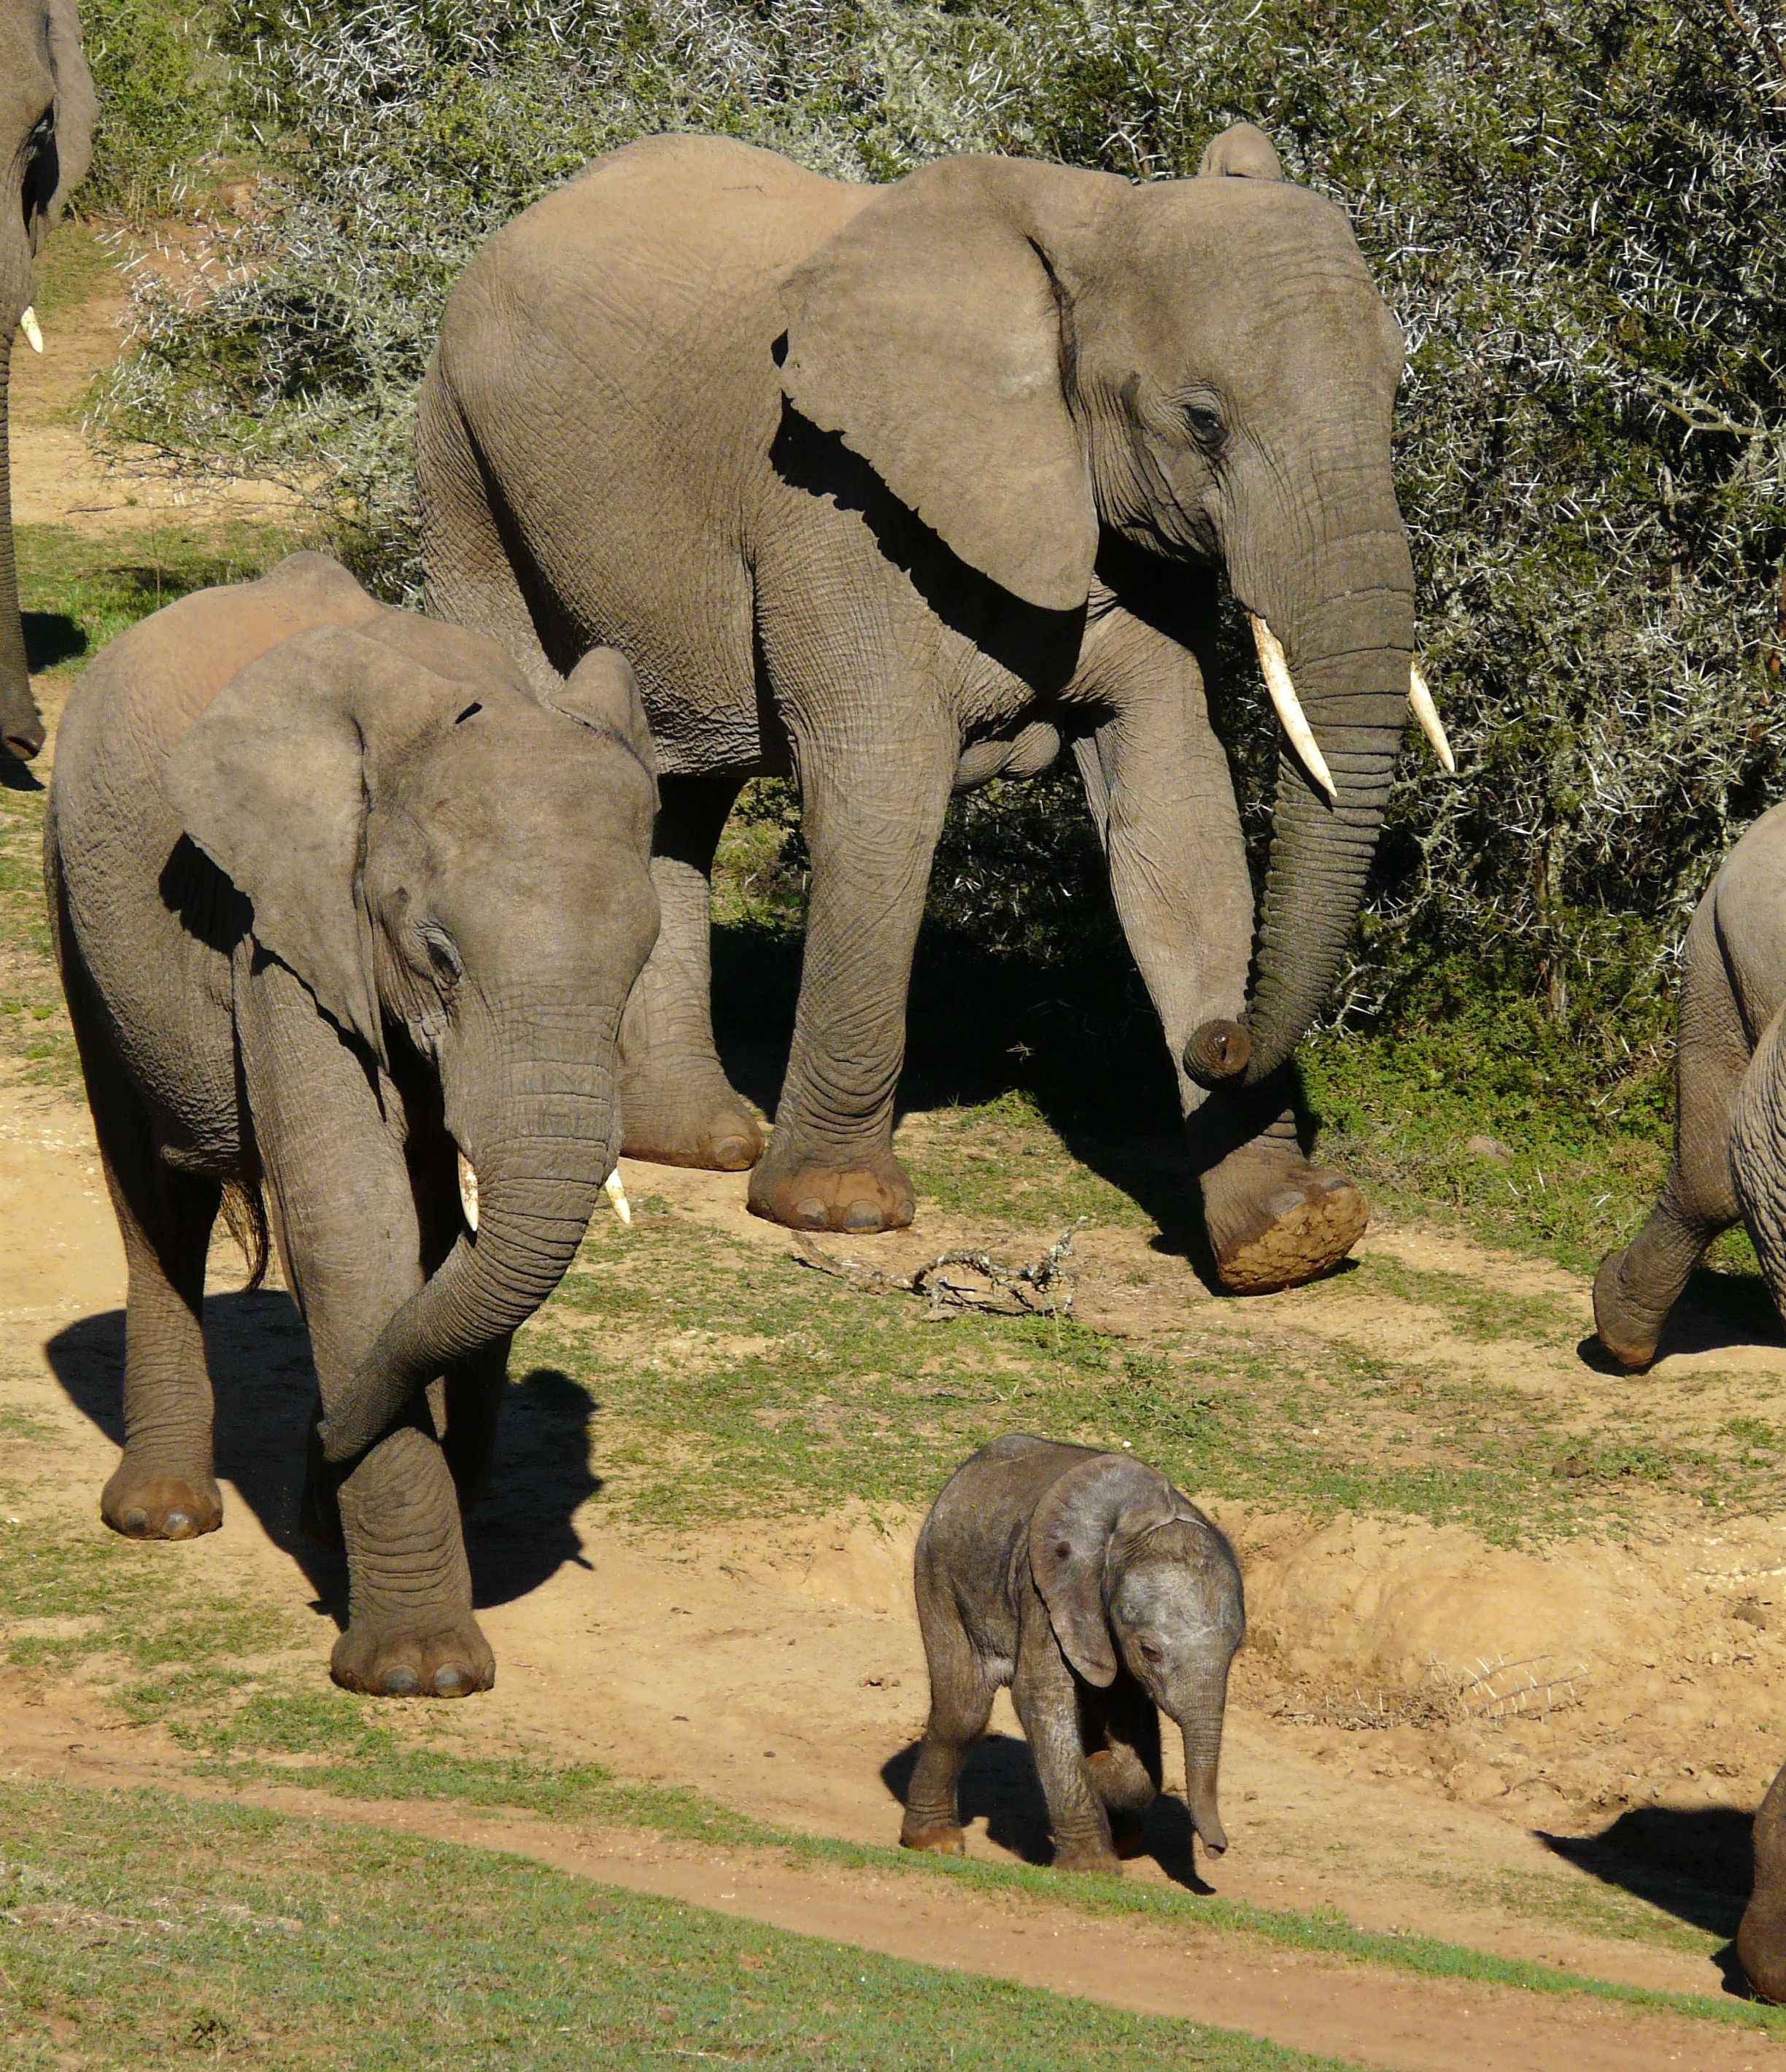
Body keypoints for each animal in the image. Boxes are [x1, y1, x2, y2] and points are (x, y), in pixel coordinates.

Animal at [46, 551, 659, 1695]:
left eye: (643, 959)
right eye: (440, 953)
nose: (330, 1433)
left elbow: (421, 1243)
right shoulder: (281, 920)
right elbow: (346, 1222)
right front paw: (422, 1677)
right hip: (76, 896)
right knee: (153, 1192)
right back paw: (164, 1518)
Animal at [416, 122, 1449, 1293]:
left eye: (1396, 393)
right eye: (1205, 419)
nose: (1222, 1042)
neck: (1092, 226)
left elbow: (1179, 816)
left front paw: (1293, 1234)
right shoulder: (834, 501)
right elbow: (882, 797)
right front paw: (838, 1212)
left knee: (680, 799)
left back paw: (699, 1142)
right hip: (465, 467)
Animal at [899, 1434, 1244, 1872]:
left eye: (1236, 1650)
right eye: (1150, 1652)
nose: (1217, 1849)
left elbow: (1129, 1720)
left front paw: (1098, 1769)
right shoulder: (1048, 1591)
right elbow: (1040, 1695)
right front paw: (1092, 1867)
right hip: (939, 1575)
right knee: (964, 1710)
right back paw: (935, 1843)